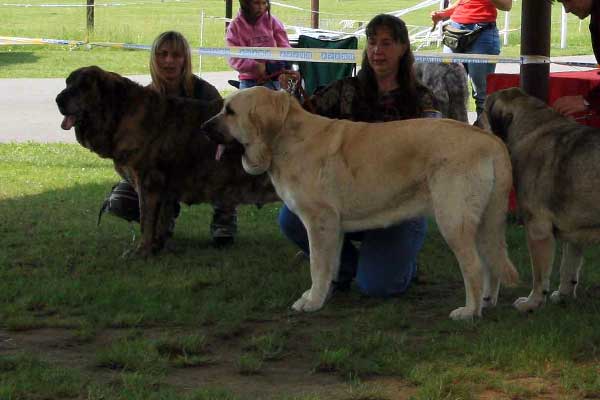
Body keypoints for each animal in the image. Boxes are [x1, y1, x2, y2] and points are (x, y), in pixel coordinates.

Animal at [56, 64, 278, 255]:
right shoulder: (164, 191)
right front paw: (157, 247)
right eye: (68, 83)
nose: (58, 99)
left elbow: (146, 221)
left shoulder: (148, 183)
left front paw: (142, 251)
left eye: (83, 86)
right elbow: (160, 221)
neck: (121, 113)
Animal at [203, 86, 520, 320]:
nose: (203, 127)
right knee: (490, 262)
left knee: (474, 267)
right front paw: (321, 295)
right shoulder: (332, 227)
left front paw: (312, 302)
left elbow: (316, 264)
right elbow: (330, 265)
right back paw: (487, 301)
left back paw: (470, 311)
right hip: (484, 222)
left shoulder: (319, 221)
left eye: (229, 111)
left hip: (454, 220)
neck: (284, 139)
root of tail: (489, 139)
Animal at [480, 87, 600, 312]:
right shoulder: (575, 229)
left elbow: (539, 274)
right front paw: (563, 295)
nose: (473, 124)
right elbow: (568, 266)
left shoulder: (537, 228)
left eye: (482, 110)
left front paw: (532, 302)